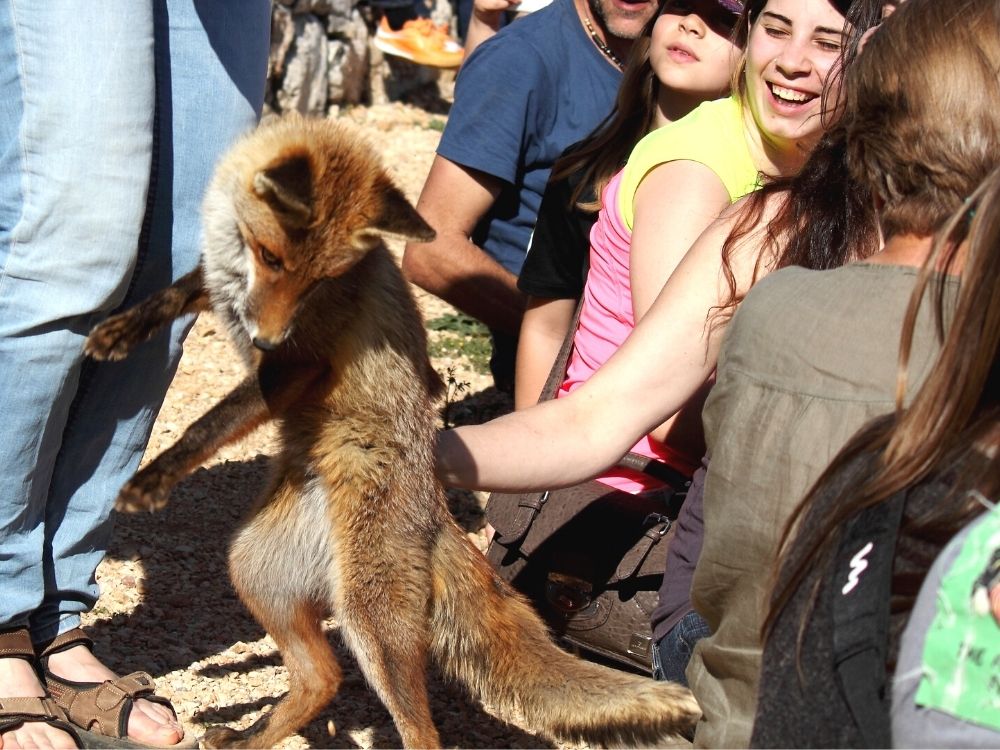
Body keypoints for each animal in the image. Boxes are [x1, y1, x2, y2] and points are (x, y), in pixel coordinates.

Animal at [86, 114, 700, 748]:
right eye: (272, 258)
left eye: (320, 280)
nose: (265, 340)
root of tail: (436, 510)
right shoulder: (226, 281)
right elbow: (174, 293)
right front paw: (119, 331)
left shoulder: (301, 360)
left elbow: (212, 424)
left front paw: (156, 478)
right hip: (255, 569)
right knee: (322, 679)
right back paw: (247, 734)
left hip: (370, 622)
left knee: (415, 728)